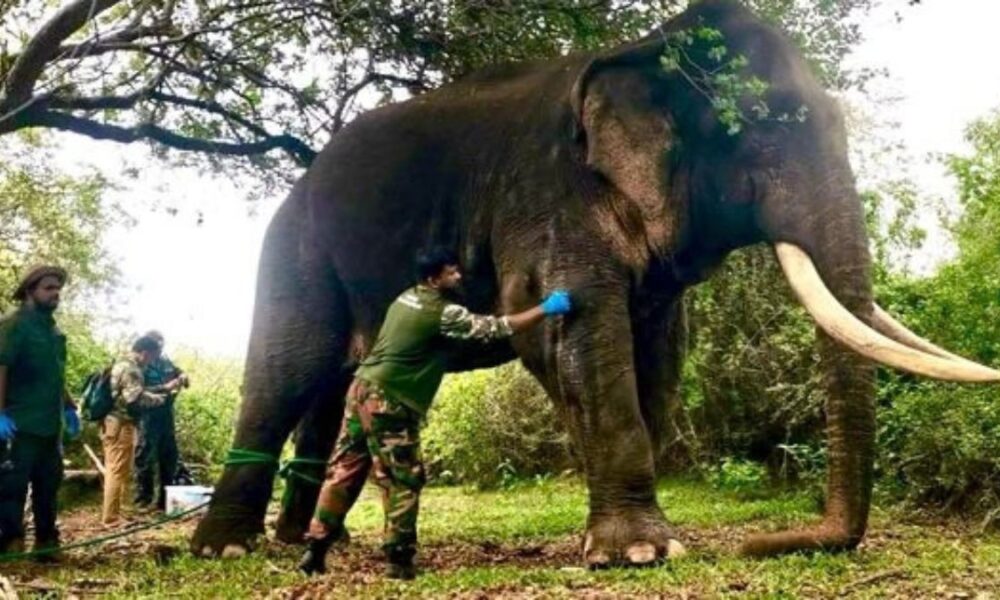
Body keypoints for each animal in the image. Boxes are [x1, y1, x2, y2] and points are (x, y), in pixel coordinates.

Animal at [191, 0, 998, 566]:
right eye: (763, 123)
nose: (769, 543)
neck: (643, 50)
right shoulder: (547, 194)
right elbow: (566, 326)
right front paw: (641, 553)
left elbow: (658, 348)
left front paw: (635, 541)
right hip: (292, 249)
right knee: (286, 375)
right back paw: (226, 548)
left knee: (332, 391)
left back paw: (310, 542)